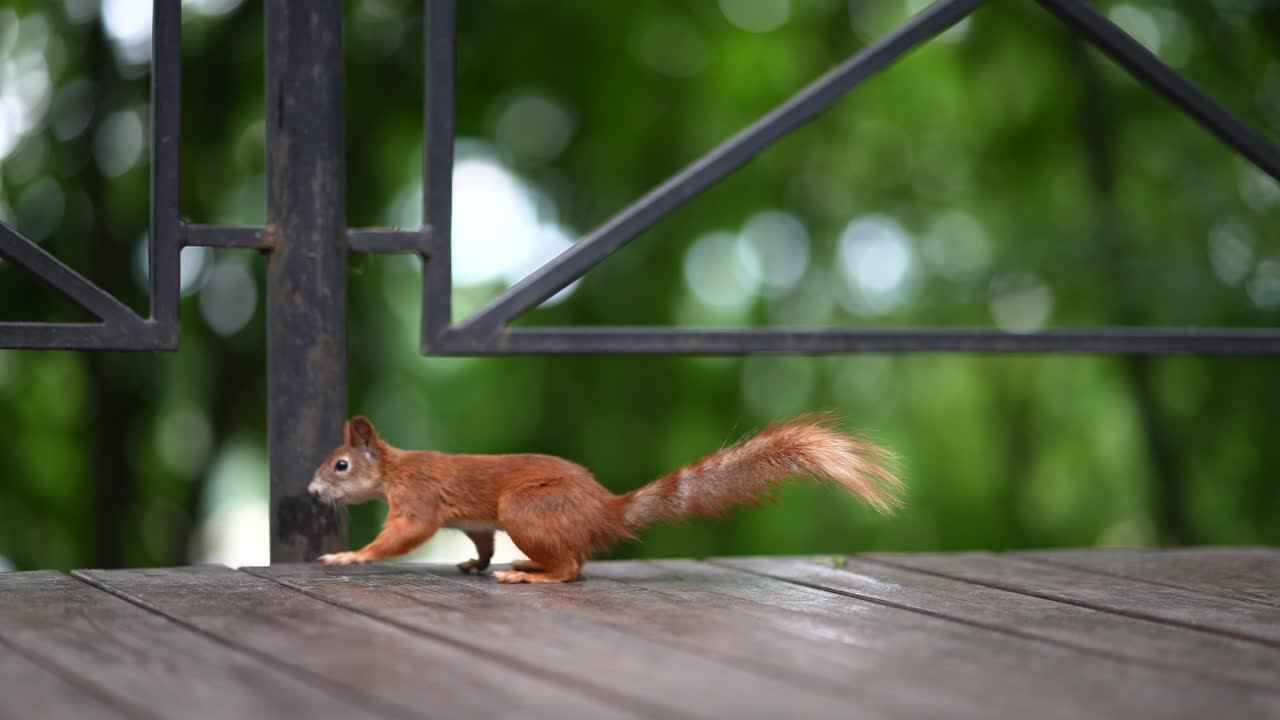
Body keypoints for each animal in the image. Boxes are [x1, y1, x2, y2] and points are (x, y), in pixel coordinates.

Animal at [308, 413, 901, 583]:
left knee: (571, 569)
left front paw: (349, 555)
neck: (394, 467)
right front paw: (474, 564)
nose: (312, 490)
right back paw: (525, 563)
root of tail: (604, 509)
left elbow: (405, 533)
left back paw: (532, 576)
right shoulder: (474, 524)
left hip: (524, 509)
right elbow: (480, 541)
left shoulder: (418, 499)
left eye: (340, 465)